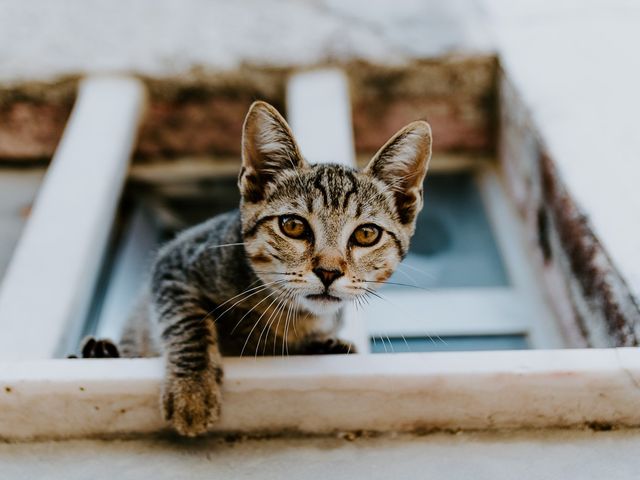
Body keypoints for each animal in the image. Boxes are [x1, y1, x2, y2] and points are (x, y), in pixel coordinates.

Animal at [79, 99, 430, 436]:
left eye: (366, 234)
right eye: (293, 226)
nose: (328, 272)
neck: (289, 314)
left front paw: (326, 345)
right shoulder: (174, 263)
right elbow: (187, 322)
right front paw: (192, 392)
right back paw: (99, 351)